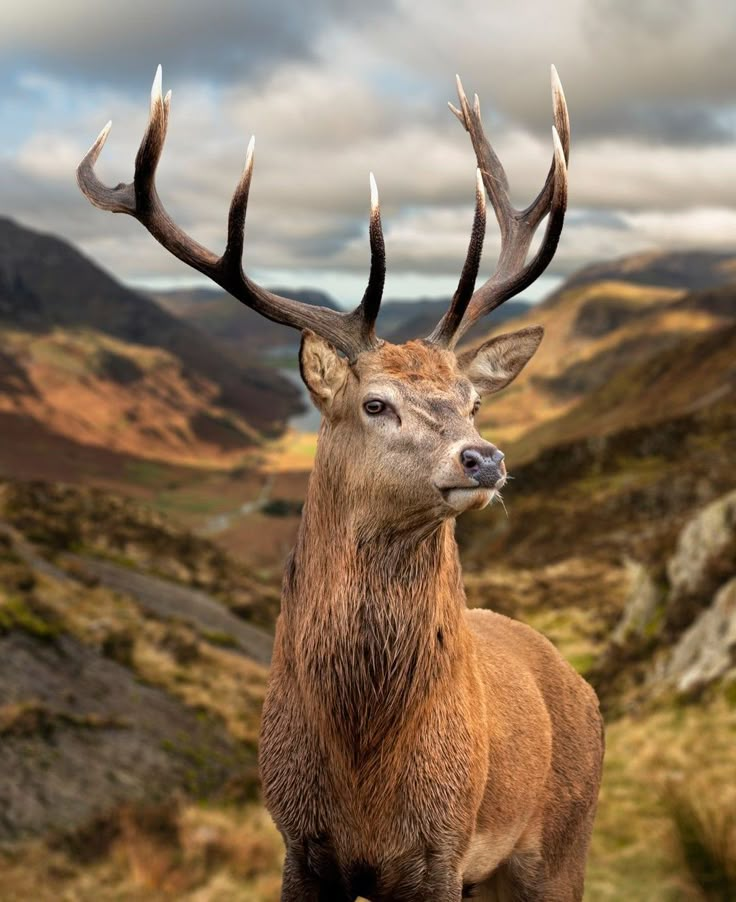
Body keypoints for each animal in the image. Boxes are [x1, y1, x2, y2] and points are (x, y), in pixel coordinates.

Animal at [79, 65, 604, 902]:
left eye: (474, 401)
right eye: (375, 403)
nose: (483, 459)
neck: (363, 770)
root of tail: (581, 686)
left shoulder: (441, 849)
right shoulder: (298, 842)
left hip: (560, 846)